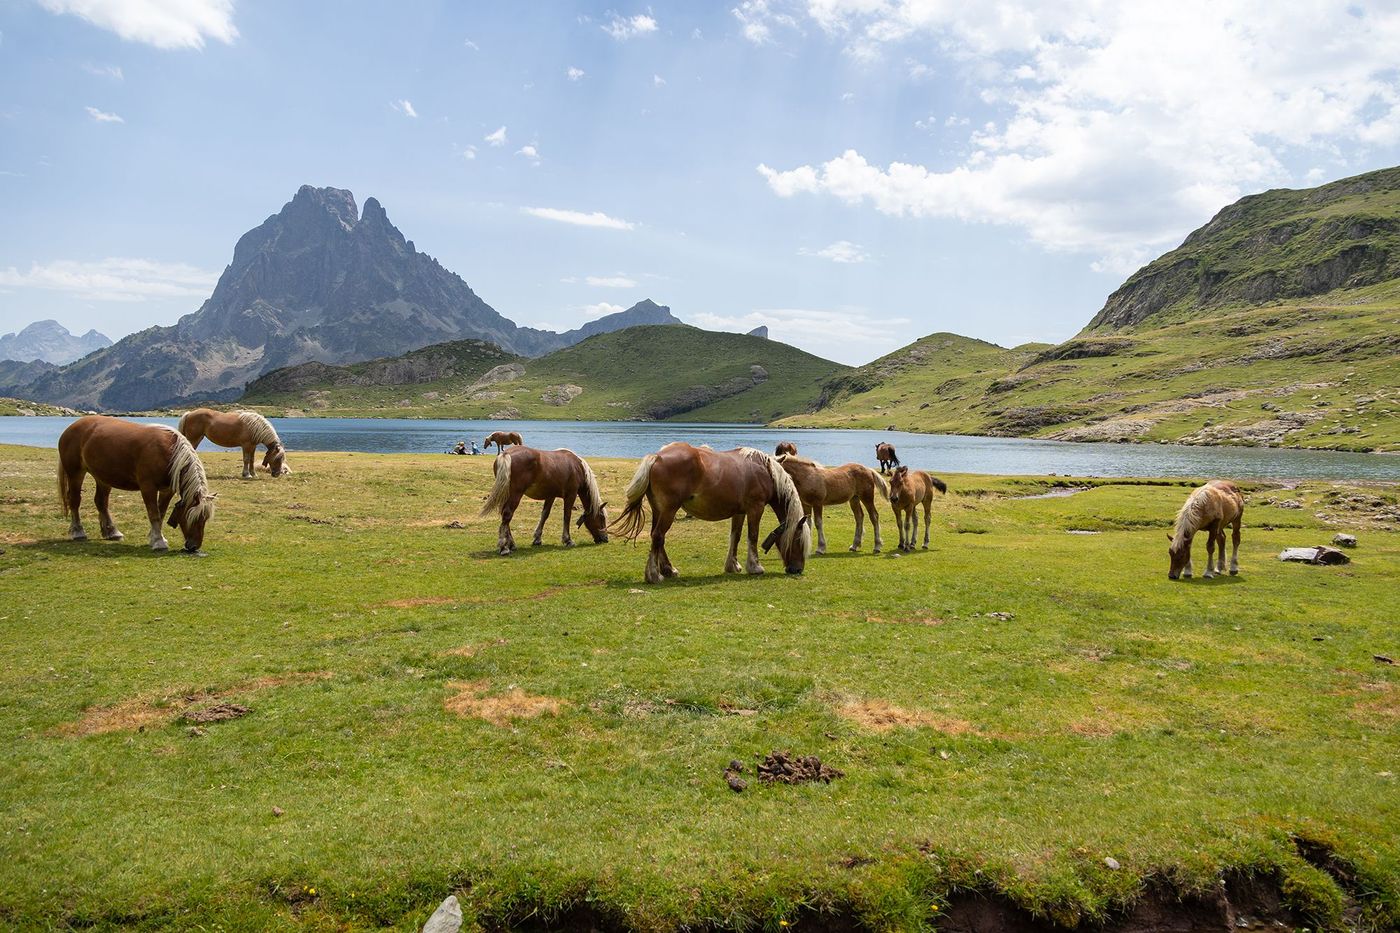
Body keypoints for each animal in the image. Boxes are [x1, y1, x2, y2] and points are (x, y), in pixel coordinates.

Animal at [58, 416, 217, 553]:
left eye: (205, 519)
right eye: (192, 517)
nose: (194, 546)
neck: (168, 453)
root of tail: (71, 428)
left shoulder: (167, 490)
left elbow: (161, 513)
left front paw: (155, 537)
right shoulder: (148, 488)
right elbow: (154, 514)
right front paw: (158, 542)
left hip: (103, 478)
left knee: (101, 502)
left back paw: (112, 531)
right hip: (75, 473)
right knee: (75, 501)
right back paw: (78, 532)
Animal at [479, 447, 608, 555]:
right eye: (602, 518)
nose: (606, 539)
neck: (577, 467)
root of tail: (506, 454)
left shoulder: (550, 496)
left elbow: (544, 515)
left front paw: (537, 538)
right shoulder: (570, 495)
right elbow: (567, 516)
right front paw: (568, 540)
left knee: (505, 517)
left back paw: (511, 544)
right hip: (516, 494)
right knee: (507, 515)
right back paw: (504, 547)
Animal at [611, 443, 810, 583]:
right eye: (798, 540)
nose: (797, 569)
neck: (766, 472)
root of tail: (657, 457)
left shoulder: (739, 512)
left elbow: (736, 536)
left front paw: (732, 565)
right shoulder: (756, 508)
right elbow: (752, 536)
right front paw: (755, 567)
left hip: (658, 510)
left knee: (658, 538)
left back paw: (668, 570)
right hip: (668, 509)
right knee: (658, 536)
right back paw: (654, 575)